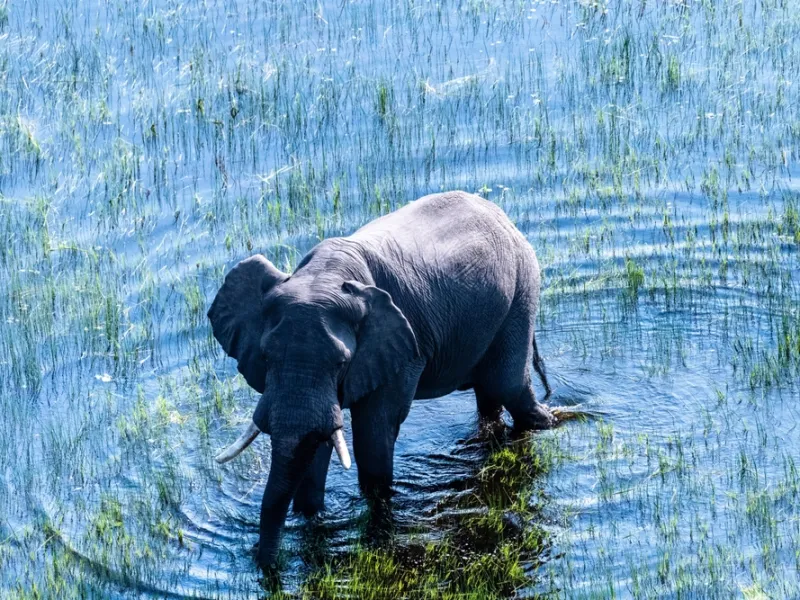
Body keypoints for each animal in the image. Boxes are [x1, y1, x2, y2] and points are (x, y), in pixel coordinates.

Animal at [208, 190, 554, 568]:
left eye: (341, 362)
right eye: (266, 357)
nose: (266, 565)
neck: (325, 276)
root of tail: (499, 212)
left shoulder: (403, 347)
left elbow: (374, 433)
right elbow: (315, 441)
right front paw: (312, 517)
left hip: (522, 284)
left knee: (507, 384)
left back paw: (548, 423)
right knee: (490, 393)